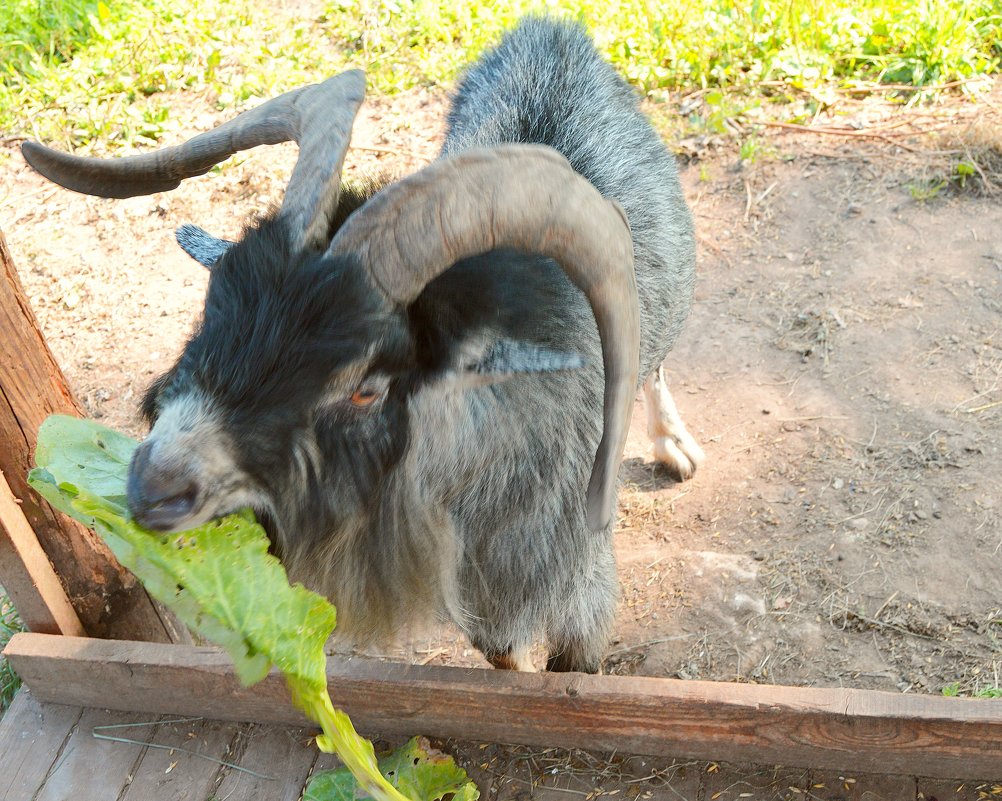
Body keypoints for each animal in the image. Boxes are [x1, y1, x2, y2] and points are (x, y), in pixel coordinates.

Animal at [23, 15, 701, 673]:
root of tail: (554, 34)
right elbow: (507, 661)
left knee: (656, 367)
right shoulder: (484, 605)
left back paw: (674, 447)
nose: (152, 488)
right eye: (211, 311)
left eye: (365, 388)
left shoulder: (575, 581)